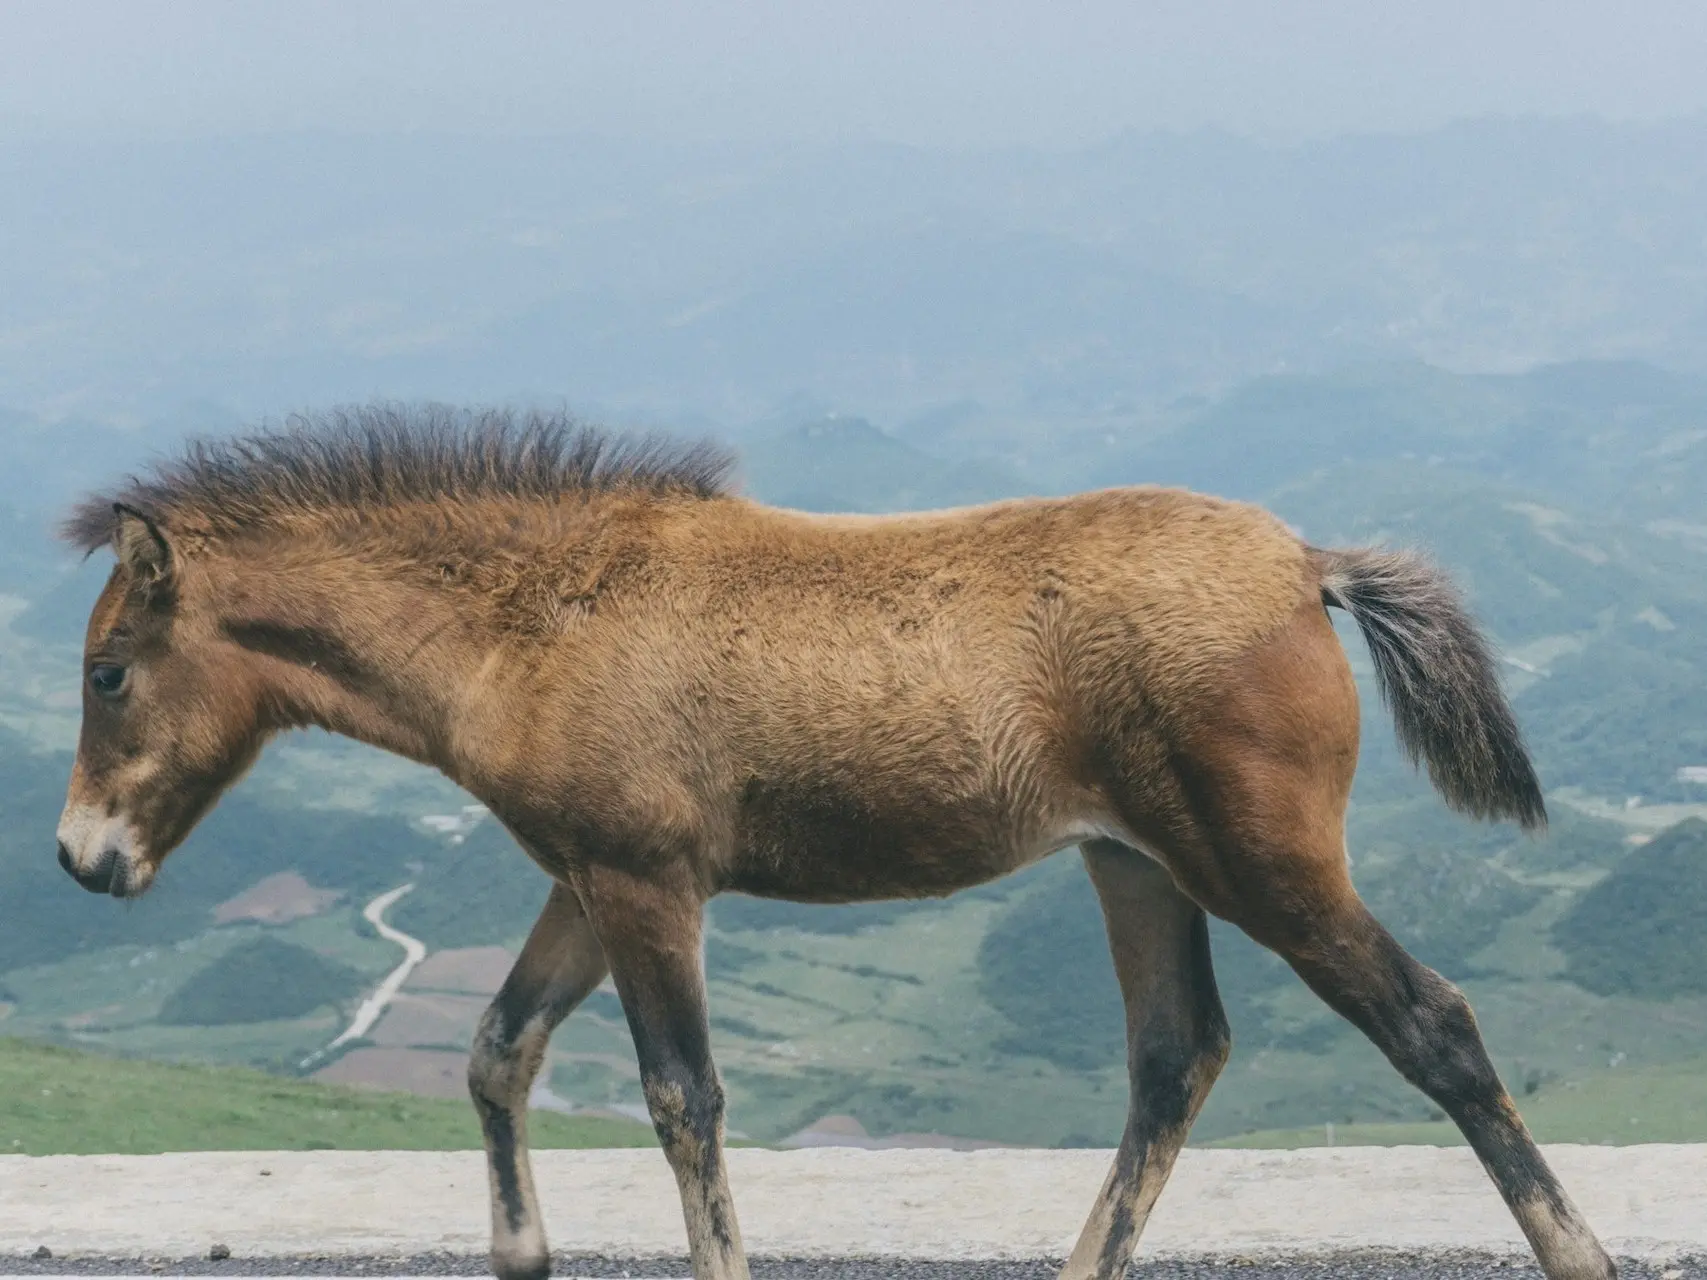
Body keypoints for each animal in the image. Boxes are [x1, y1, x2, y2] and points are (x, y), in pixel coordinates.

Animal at [53, 407, 1618, 1280]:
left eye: (109, 672)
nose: (81, 859)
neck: (526, 625)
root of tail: (1306, 565)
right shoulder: (588, 876)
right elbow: (498, 1049)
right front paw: (521, 1256)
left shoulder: (644, 882)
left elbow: (681, 1098)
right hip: (1134, 862)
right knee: (1176, 1056)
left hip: (1261, 861)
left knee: (1430, 1022)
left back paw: (1581, 1253)